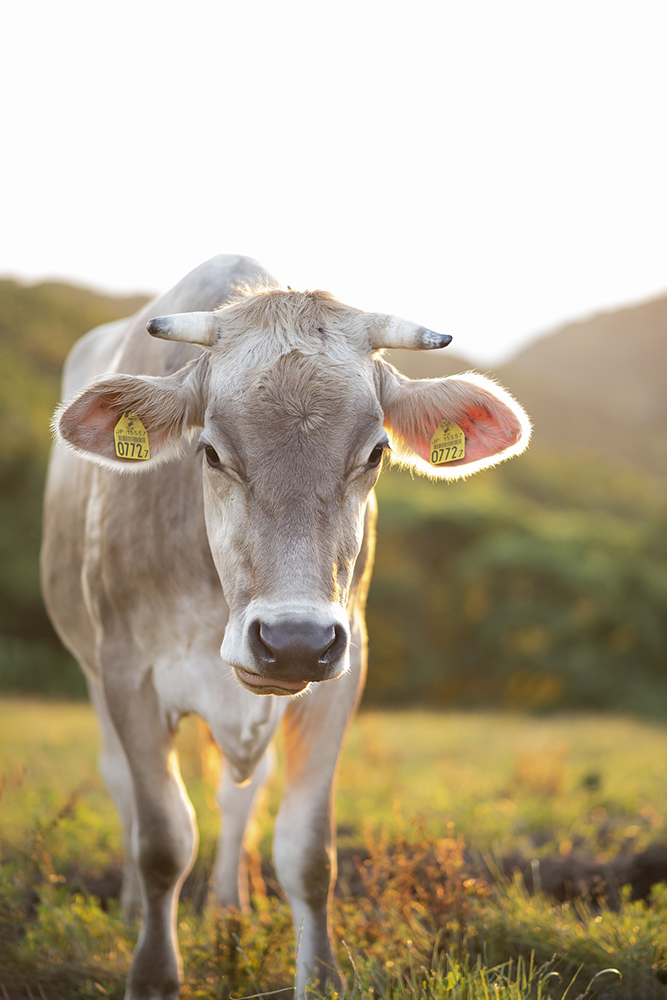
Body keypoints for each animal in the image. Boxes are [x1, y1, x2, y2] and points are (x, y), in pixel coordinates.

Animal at [41, 256, 532, 1000]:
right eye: (211, 452)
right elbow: (162, 841)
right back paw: (131, 909)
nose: (294, 641)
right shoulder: (130, 673)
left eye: (377, 452)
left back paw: (229, 909)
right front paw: (152, 973)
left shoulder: (340, 676)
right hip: (94, 673)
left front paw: (318, 976)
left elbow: (307, 851)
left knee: (237, 795)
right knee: (122, 787)